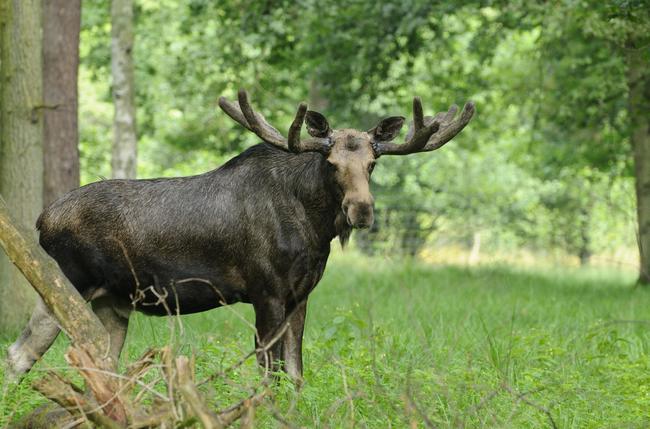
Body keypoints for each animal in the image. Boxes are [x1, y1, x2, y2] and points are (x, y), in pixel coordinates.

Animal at [3, 89, 470, 382]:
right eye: (332, 163)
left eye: (373, 163)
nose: (362, 211)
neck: (312, 232)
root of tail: (42, 220)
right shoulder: (265, 291)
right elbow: (268, 374)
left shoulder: (300, 295)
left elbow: (296, 373)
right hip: (66, 284)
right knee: (20, 353)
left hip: (114, 301)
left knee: (99, 360)